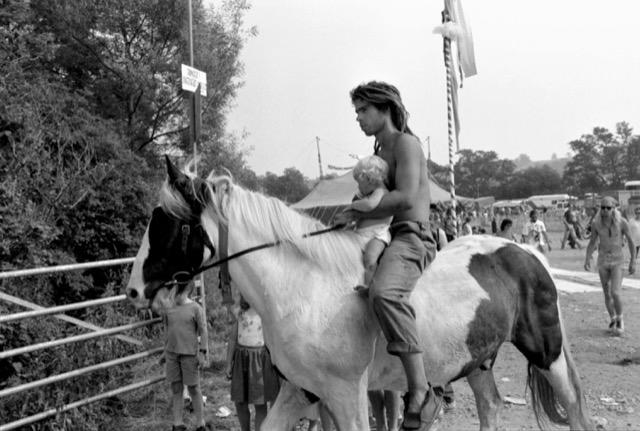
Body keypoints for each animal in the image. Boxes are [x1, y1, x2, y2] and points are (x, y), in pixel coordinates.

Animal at [126, 159, 596, 431]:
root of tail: (526, 252)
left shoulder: (347, 396)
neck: (304, 290)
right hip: (476, 359)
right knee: (492, 407)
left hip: (546, 353)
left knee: (573, 407)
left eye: (168, 224)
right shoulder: (300, 392)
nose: (132, 291)